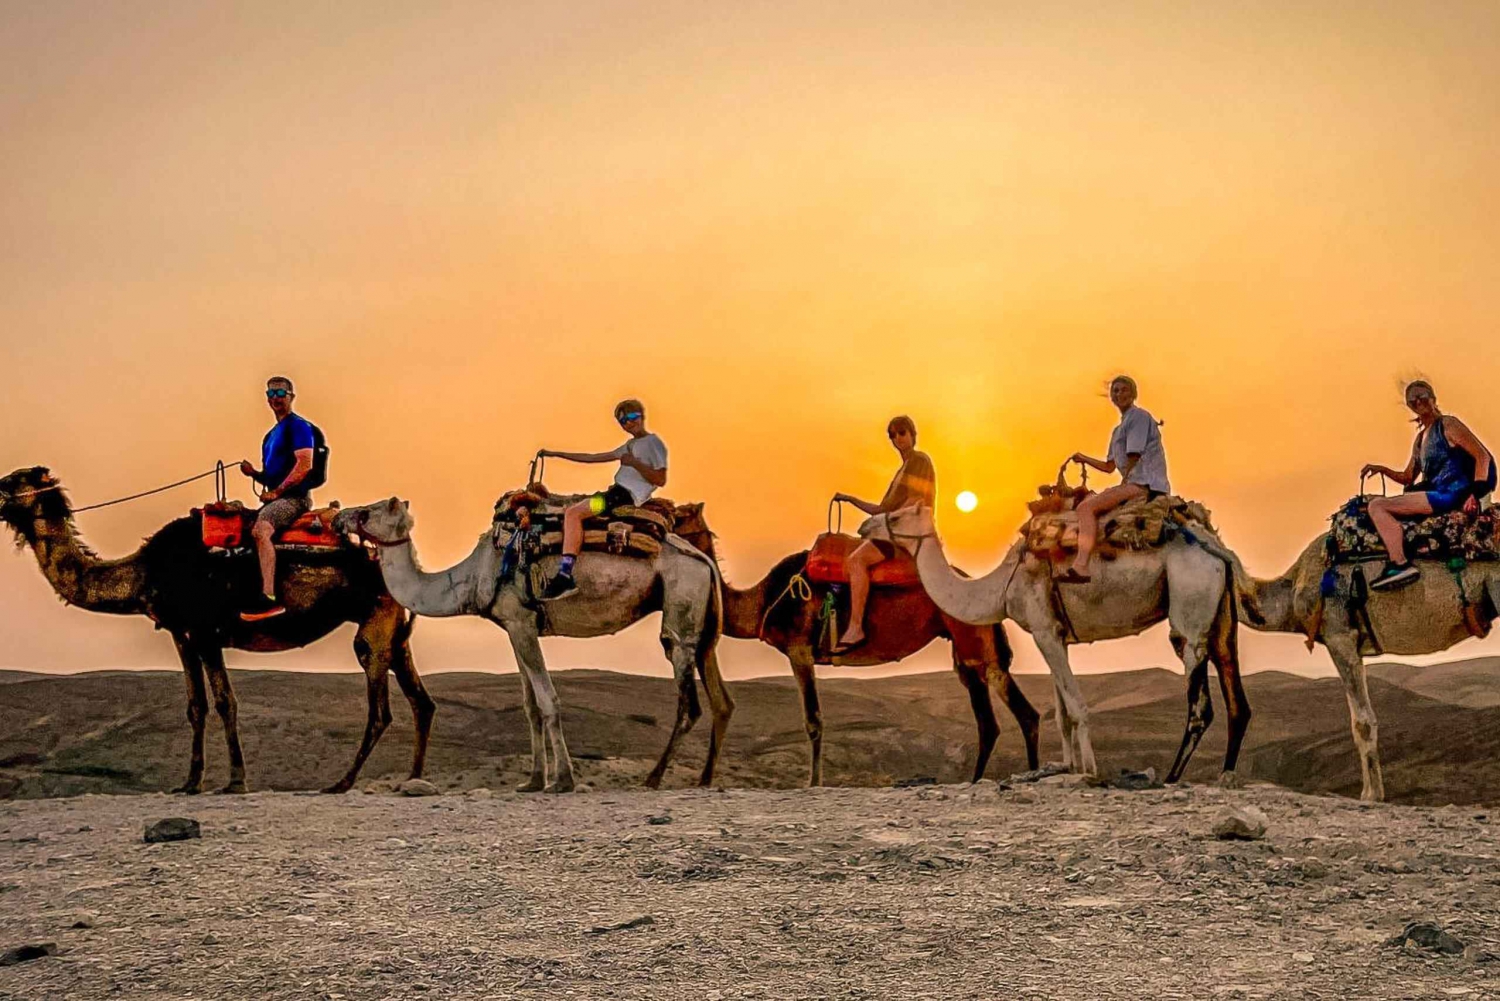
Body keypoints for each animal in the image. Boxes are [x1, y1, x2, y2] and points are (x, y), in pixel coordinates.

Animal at [0, 466, 434, 794]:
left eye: (12, 480)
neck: (147, 573)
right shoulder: (182, 633)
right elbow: (196, 706)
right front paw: (189, 783)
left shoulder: (206, 631)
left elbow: (226, 701)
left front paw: (236, 781)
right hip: (395, 629)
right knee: (422, 702)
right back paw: (413, 779)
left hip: (374, 624)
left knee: (380, 708)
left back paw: (341, 782)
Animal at [333, 496, 731, 793]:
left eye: (367, 511)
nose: (338, 517)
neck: (472, 577)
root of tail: (704, 560)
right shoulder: (514, 627)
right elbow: (530, 707)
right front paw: (534, 780)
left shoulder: (521, 620)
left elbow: (548, 700)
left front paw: (563, 780)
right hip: (705, 622)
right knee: (721, 697)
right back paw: (705, 779)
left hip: (681, 601)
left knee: (687, 695)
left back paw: (654, 777)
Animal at [669, 509, 1041, 786]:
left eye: (677, 515)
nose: (659, 526)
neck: (762, 600)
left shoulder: (799, 648)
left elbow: (814, 719)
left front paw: (813, 783)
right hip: (970, 647)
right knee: (1002, 716)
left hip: (970, 638)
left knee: (1004, 714)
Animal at [885, 505, 1249, 784]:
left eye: (898, 516)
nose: (872, 523)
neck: (1001, 586)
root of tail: (1217, 550)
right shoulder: (1057, 635)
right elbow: (1061, 714)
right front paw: (1067, 767)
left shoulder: (1044, 630)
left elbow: (1076, 707)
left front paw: (1089, 771)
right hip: (1221, 617)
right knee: (1235, 694)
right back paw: (1226, 774)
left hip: (1191, 604)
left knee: (1199, 701)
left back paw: (1172, 777)